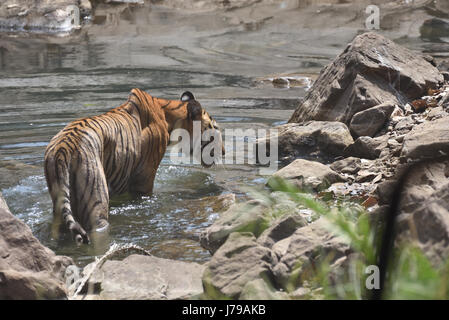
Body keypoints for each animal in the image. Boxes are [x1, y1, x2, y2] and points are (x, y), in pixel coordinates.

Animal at [43, 89, 222, 244]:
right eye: (215, 130)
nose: (224, 152)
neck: (168, 115)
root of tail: (63, 148)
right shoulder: (144, 180)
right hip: (96, 200)